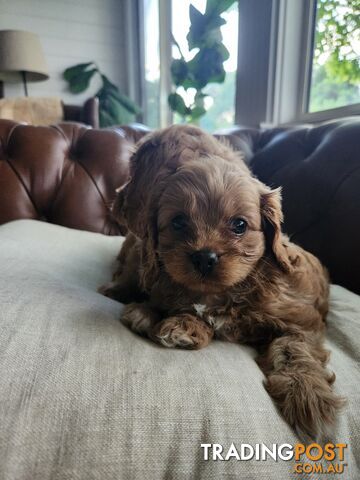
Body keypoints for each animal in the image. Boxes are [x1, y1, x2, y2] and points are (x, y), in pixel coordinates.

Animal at [99, 124, 344, 438]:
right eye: (178, 222)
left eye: (239, 225)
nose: (205, 257)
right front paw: (182, 324)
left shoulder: (301, 323)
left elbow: (295, 349)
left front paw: (308, 396)